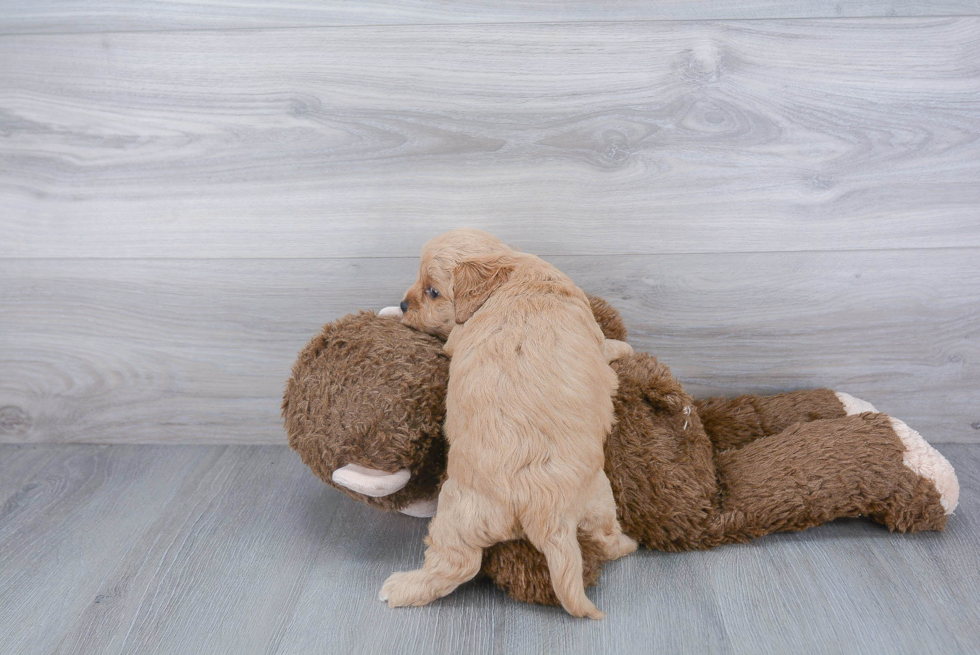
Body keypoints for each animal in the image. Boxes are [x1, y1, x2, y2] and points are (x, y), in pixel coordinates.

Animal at [378, 231, 640, 620]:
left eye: (432, 291)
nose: (402, 304)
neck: (511, 271)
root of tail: (545, 510)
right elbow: (606, 345)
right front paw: (625, 348)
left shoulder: (457, 335)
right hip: (598, 498)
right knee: (603, 539)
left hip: (459, 513)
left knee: (457, 565)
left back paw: (401, 587)